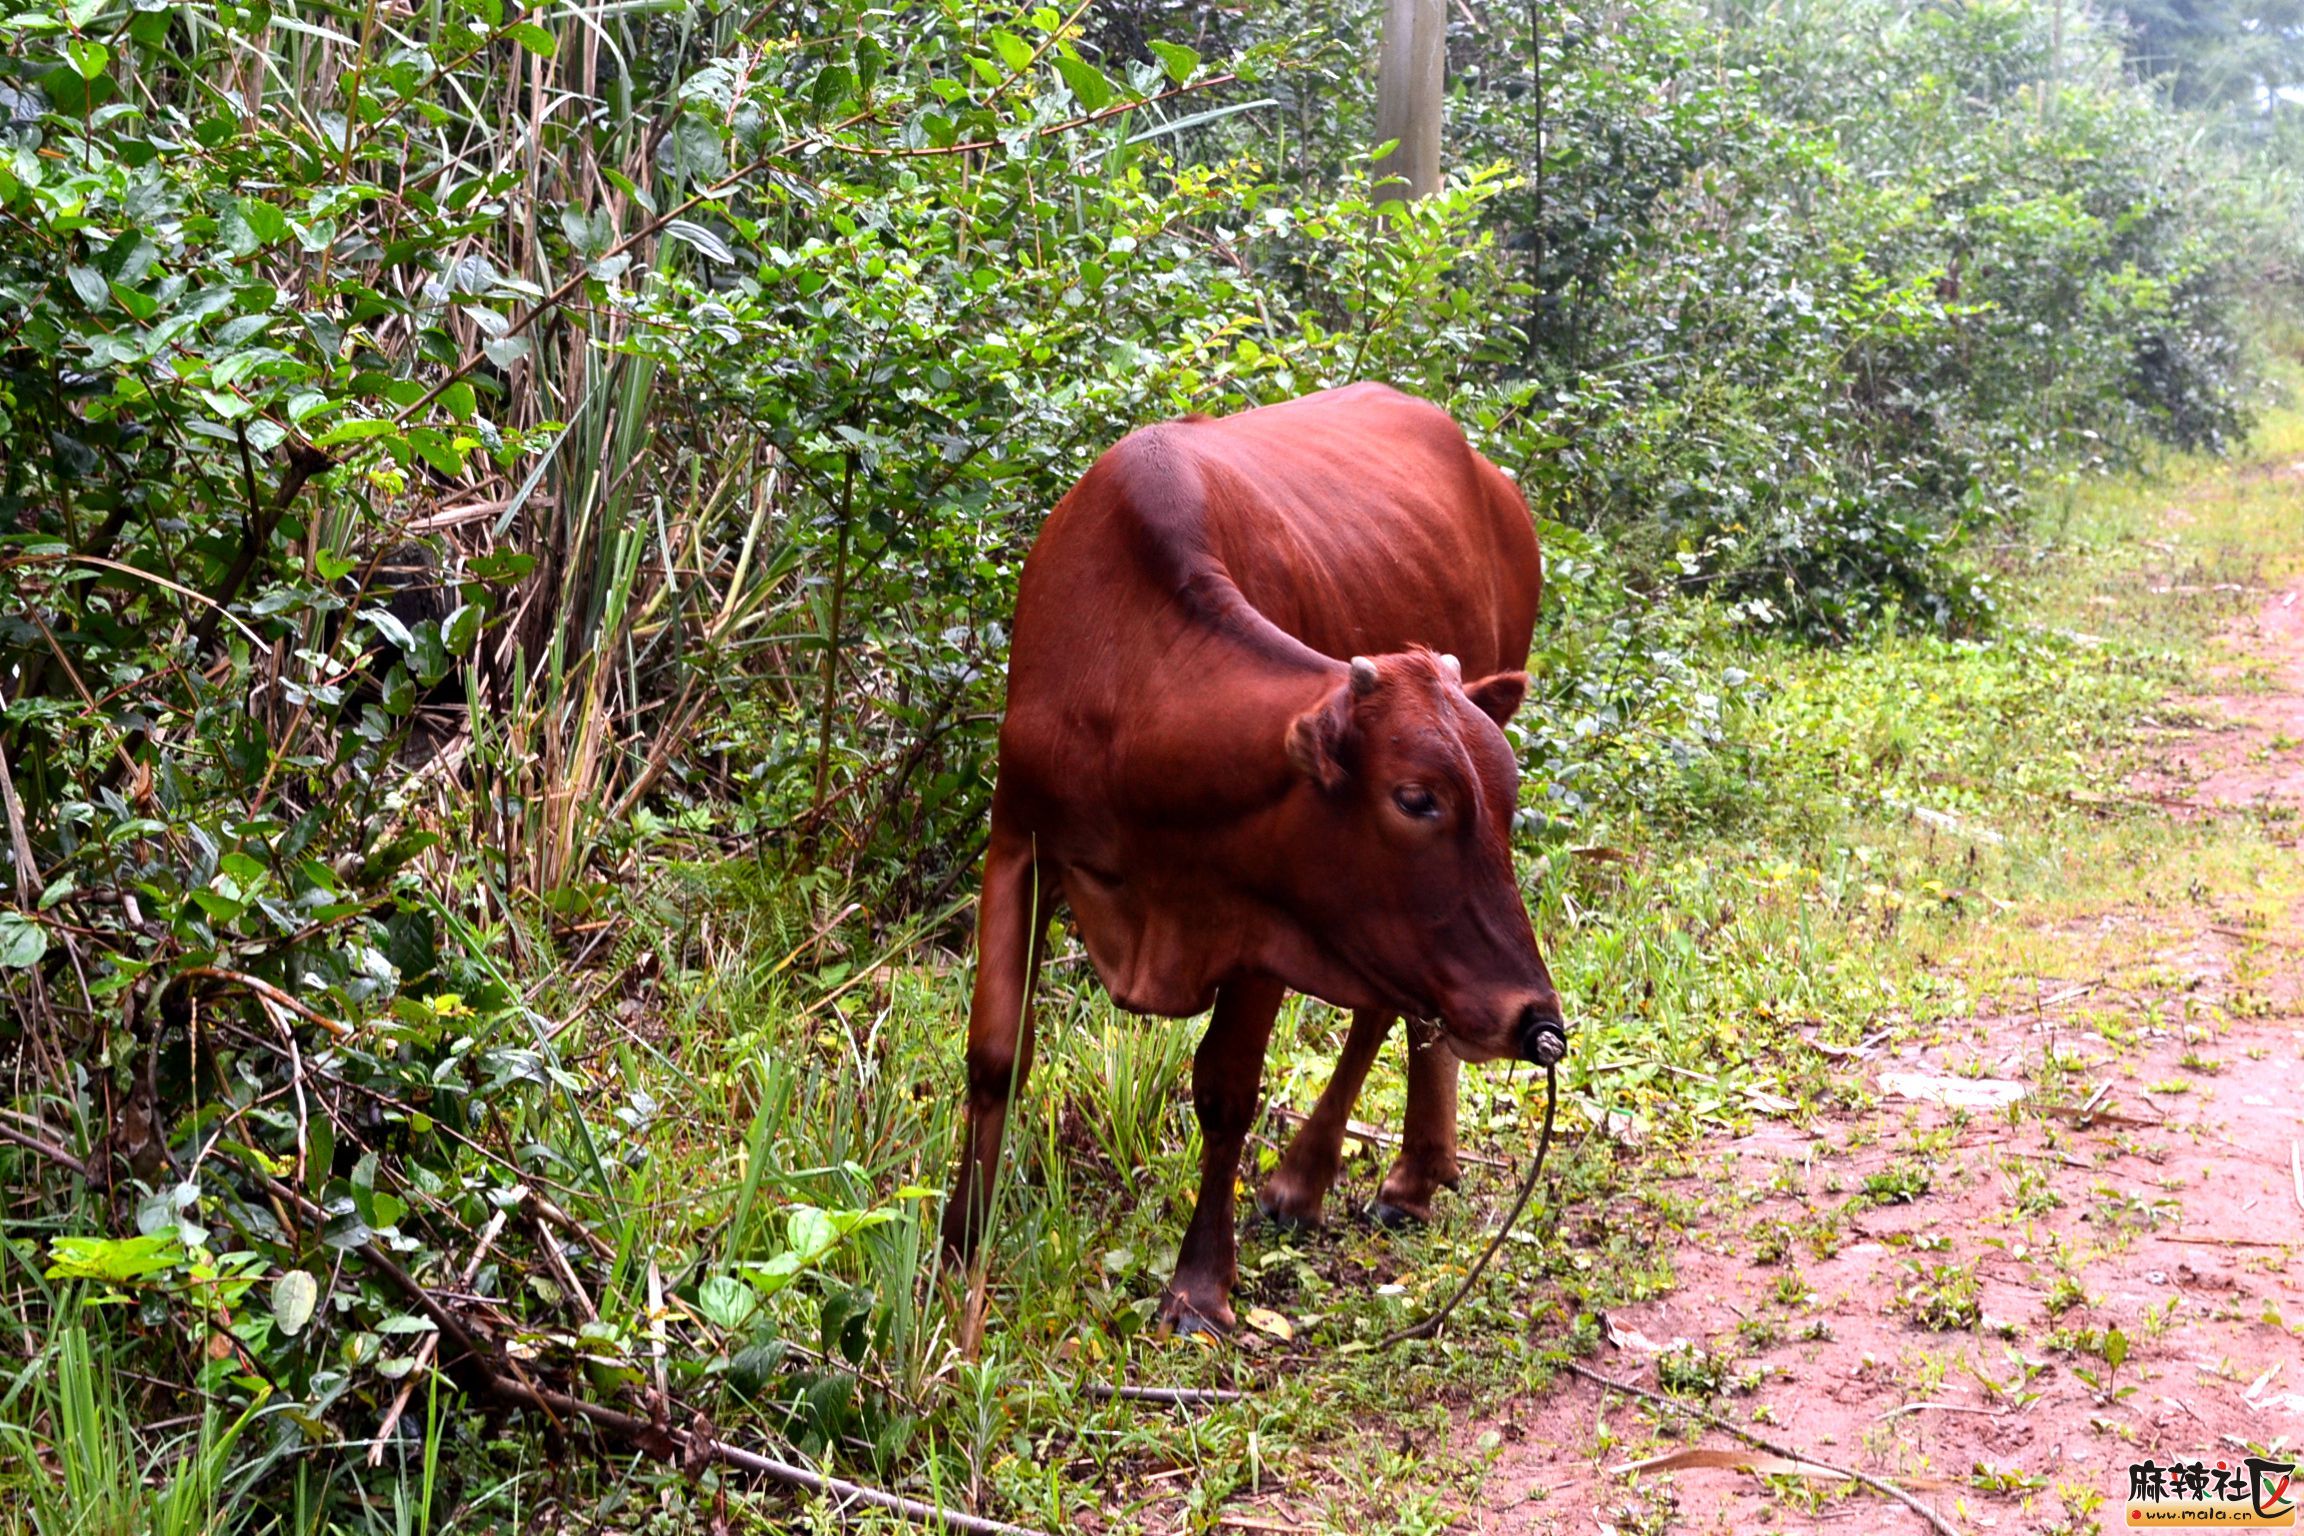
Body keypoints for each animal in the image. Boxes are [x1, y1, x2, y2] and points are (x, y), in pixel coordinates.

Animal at [935, 384, 1566, 1335]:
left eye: (1505, 798)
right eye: (1417, 798)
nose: (1536, 1019)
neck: (1132, 695)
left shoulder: (1268, 919)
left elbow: (1226, 1091)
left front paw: (1199, 1283)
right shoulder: (1018, 841)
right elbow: (996, 1056)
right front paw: (958, 1247)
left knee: (1388, 1011)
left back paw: (1349, 1178)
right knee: (1409, 1004)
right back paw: (1406, 1169)